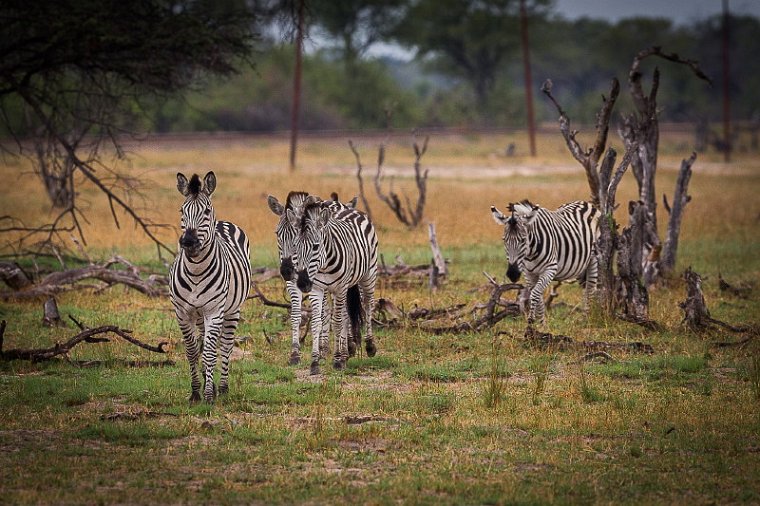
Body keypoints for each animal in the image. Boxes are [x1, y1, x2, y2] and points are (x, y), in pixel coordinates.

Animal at [170, 171, 251, 404]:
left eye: (206, 211)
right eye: (181, 211)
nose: (188, 242)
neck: (196, 270)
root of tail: (222, 222)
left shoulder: (214, 311)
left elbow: (209, 353)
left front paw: (208, 395)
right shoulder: (182, 313)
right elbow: (192, 351)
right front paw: (196, 392)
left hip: (232, 309)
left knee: (225, 346)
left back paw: (222, 388)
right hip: (199, 315)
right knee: (205, 343)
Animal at [266, 192, 360, 366]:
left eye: (296, 236)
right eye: (277, 234)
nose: (286, 270)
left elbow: (325, 314)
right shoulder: (294, 283)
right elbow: (296, 314)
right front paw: (295, 354)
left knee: (342, 311)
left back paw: (347, 348)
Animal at [286, 200, 378, 374]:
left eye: (316, 246)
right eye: (294, 246)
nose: (301, 283)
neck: (324, 266)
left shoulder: (340, 287)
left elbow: (337, 323)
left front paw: (336, 360)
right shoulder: (317, 288)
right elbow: (317, 322)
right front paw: (315, 362)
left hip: (368, 275)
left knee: (368, 304)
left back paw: (369, 346)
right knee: (346, 314)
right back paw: (346, 353)